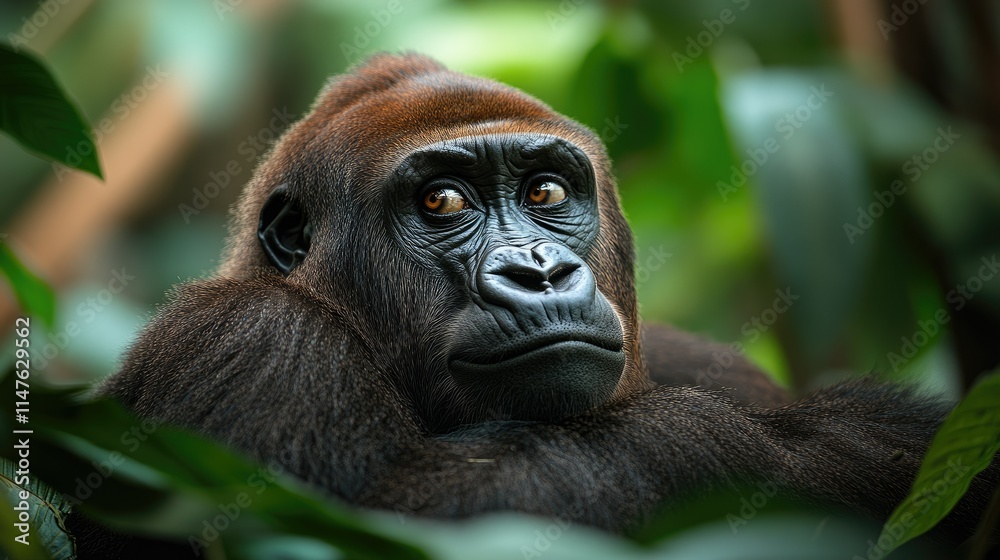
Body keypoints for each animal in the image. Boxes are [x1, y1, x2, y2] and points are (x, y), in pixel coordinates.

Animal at [93, 53, 994, 554]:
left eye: (547, 191)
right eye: (442, 203)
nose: (539, 271)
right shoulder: (249, 338)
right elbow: (368, 525)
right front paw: (824, 448)